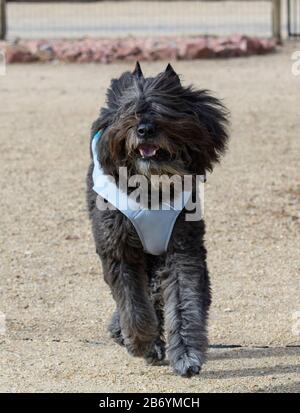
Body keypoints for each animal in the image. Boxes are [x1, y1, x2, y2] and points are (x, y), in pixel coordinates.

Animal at [86, 62, 230, 374]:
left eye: (164, 108)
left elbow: (184, 301)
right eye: (128, 109)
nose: (144, 130)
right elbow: (133, 305)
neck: (151, 186)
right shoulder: (120, 251)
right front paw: (142, 343)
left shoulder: (182, 249)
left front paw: (187, 354)